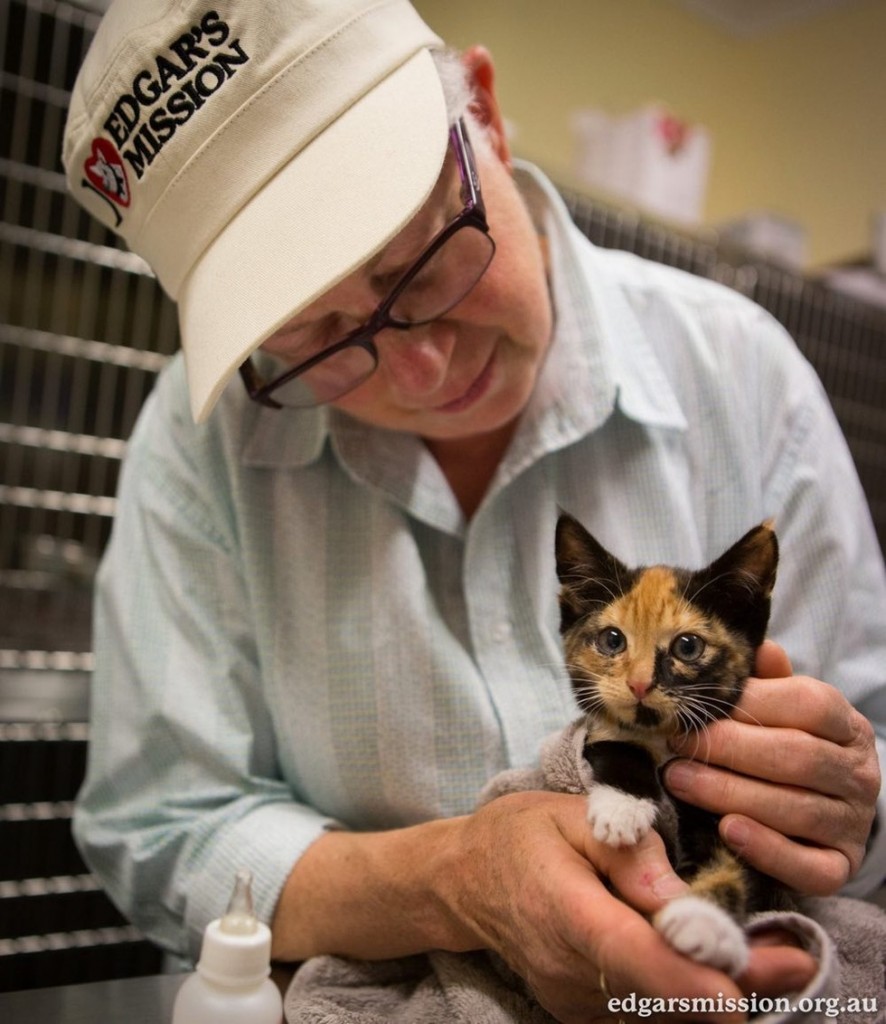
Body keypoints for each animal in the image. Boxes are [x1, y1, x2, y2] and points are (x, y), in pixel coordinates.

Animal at [553, 512, 786, 974]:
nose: (640, 684)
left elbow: (739, 868)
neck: (661, 737)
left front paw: (704, 924)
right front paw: (621, 811)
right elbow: (618, 744)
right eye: (612, 640)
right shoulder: (603, 732)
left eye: (687, 646)